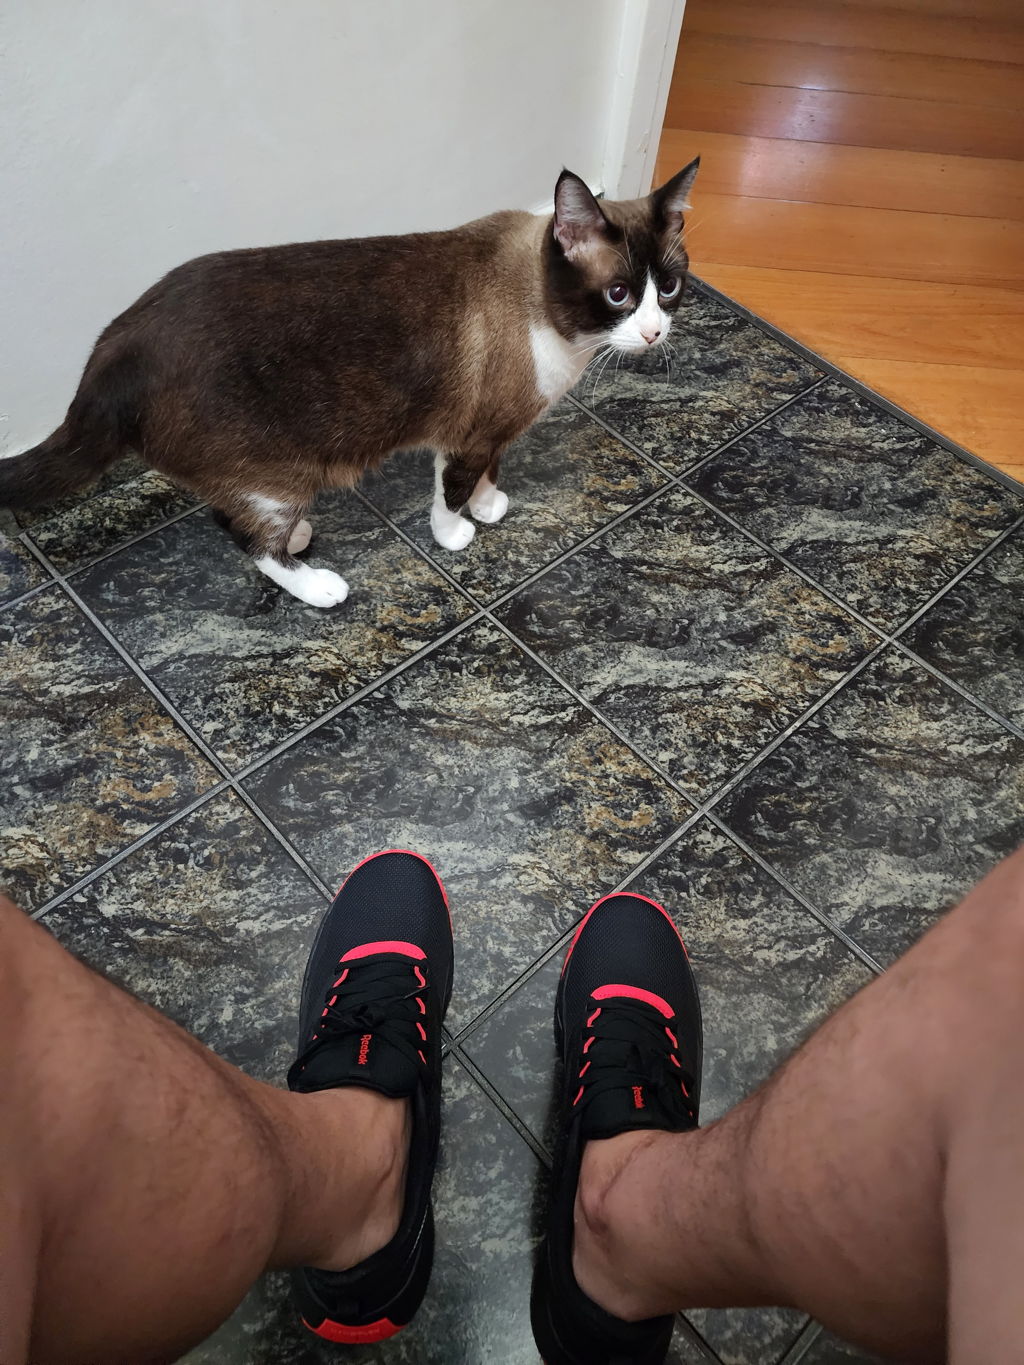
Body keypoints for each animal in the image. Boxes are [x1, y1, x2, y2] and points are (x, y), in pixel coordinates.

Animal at [0, 159, 699, 607]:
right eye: (617, 295)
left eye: (668, 287)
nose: (654, 333)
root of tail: (112, 347)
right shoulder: (469, 433)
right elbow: (452, 489)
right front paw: (457, 532)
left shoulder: (495, 429)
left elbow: (489, 472)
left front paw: (490, 505)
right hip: (280, 474)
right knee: (246, 536)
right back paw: (319, 584)